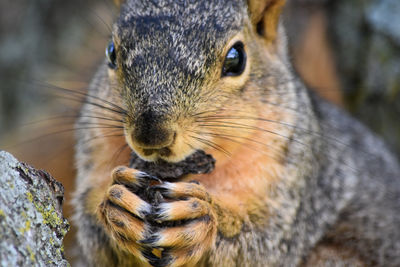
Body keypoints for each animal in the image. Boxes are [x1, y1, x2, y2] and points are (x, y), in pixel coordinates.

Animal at [72, 0, 400, 267]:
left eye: (236, 58)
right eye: (111, 52)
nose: (152, 135)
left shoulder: (297, 189)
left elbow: (260, 243)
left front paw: (204, 216)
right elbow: (95, 239)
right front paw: (117, 205)